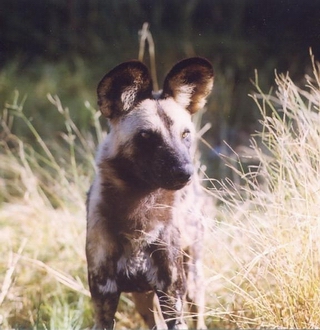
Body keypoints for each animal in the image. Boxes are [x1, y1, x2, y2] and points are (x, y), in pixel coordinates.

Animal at [86, 58, 214, 328]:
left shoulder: (172, 298)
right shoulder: (104, 301)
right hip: (142, 300)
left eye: (185, 134)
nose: (186, 172)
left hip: (192, 282)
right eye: (146, 135)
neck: (137, 213)